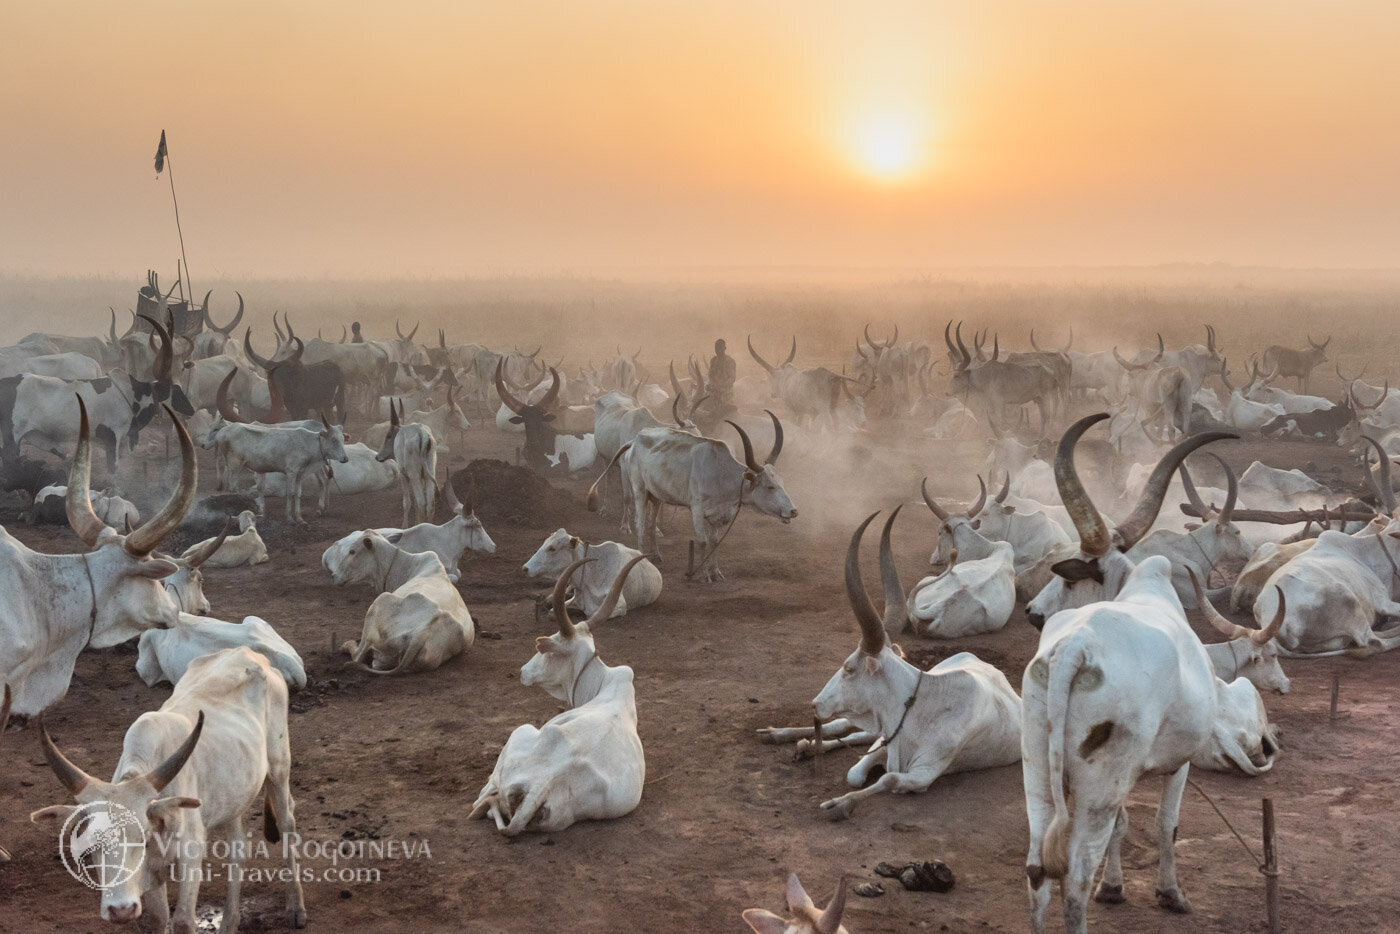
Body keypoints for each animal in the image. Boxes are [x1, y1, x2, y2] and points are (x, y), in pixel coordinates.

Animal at [32, 649, 306, 934]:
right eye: (89, 845)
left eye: (142, 838)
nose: (120, 910)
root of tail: (248, 652)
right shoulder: (151, 875)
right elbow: (157, 918)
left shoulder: (191, 854)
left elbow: (183, 920)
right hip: (234, 795)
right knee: (237, 848)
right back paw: (230, 922)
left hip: (278, 765)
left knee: (287, 822)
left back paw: (296, 908)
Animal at [467, 560, 646, 834]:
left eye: (545, 648)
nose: (523, 671)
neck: (605, 684)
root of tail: (542, 784)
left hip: (521, 731)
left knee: (485, 795)